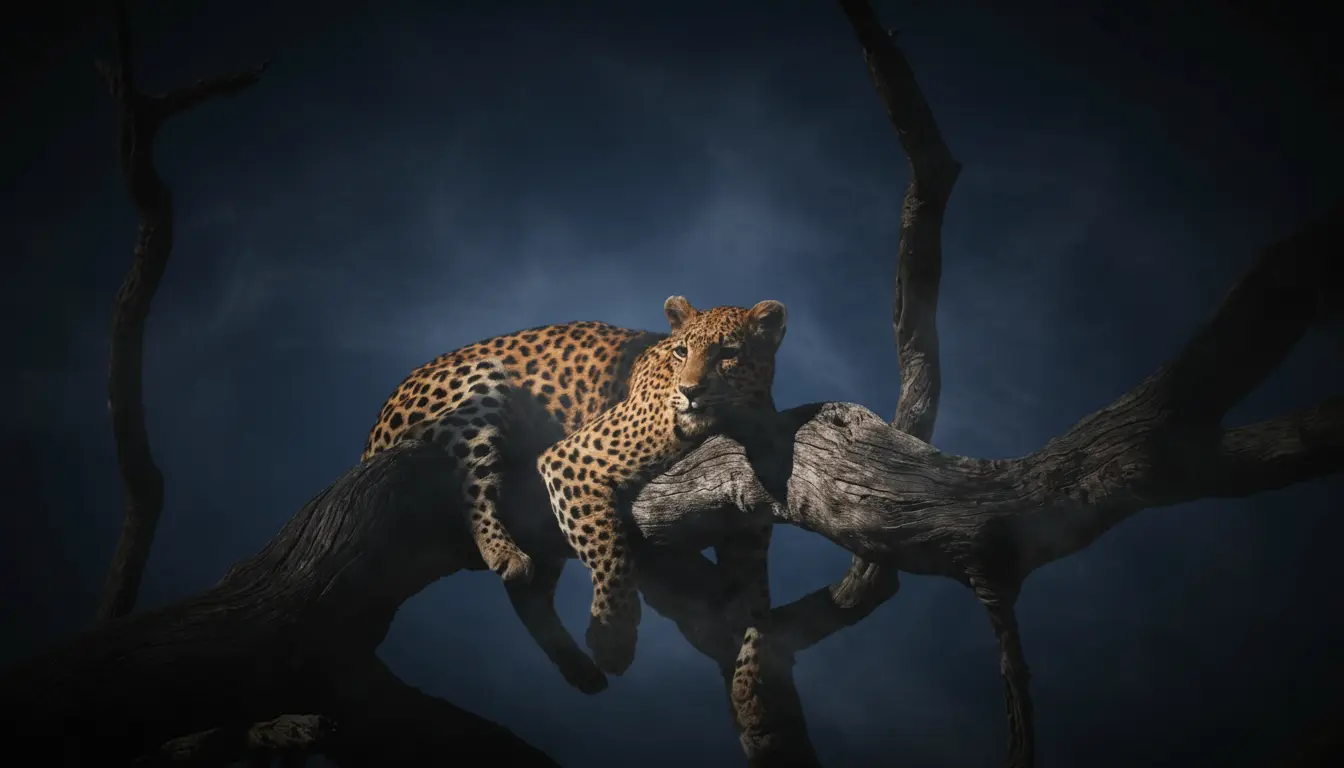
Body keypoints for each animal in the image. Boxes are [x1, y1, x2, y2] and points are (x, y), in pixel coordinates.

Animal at [362, 295, 787, 699]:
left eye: (727, 353)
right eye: (681, 351)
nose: (689, 391)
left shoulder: (749, 524)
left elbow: (757, 602)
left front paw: (748, 686)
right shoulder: (571, 460)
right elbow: (610, 551)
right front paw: (612, 640)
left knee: (529, 597)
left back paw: (579, 668)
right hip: (480, 381)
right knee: (471, 484)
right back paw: (504, 553)